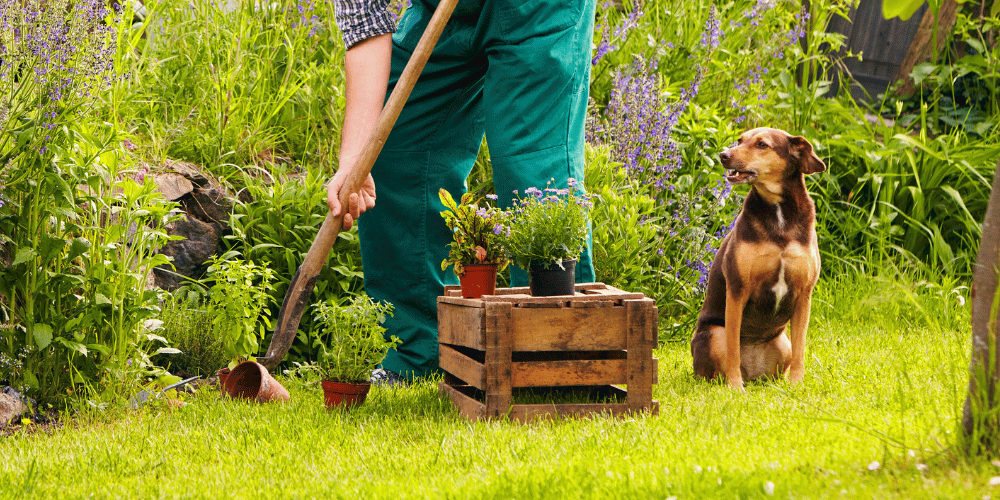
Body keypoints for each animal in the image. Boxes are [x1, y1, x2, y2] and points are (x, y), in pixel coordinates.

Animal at [692, 128, 824, 390]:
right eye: (740, 140)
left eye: (762, 144)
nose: (724, 155)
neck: (778, 211)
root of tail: (753, 373)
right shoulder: (738, 290)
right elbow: (733, 349)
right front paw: (735, 388)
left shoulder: (804, 296)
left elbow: (801, 351)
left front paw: (797, 385)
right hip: (715, 335)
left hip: (783, 343)